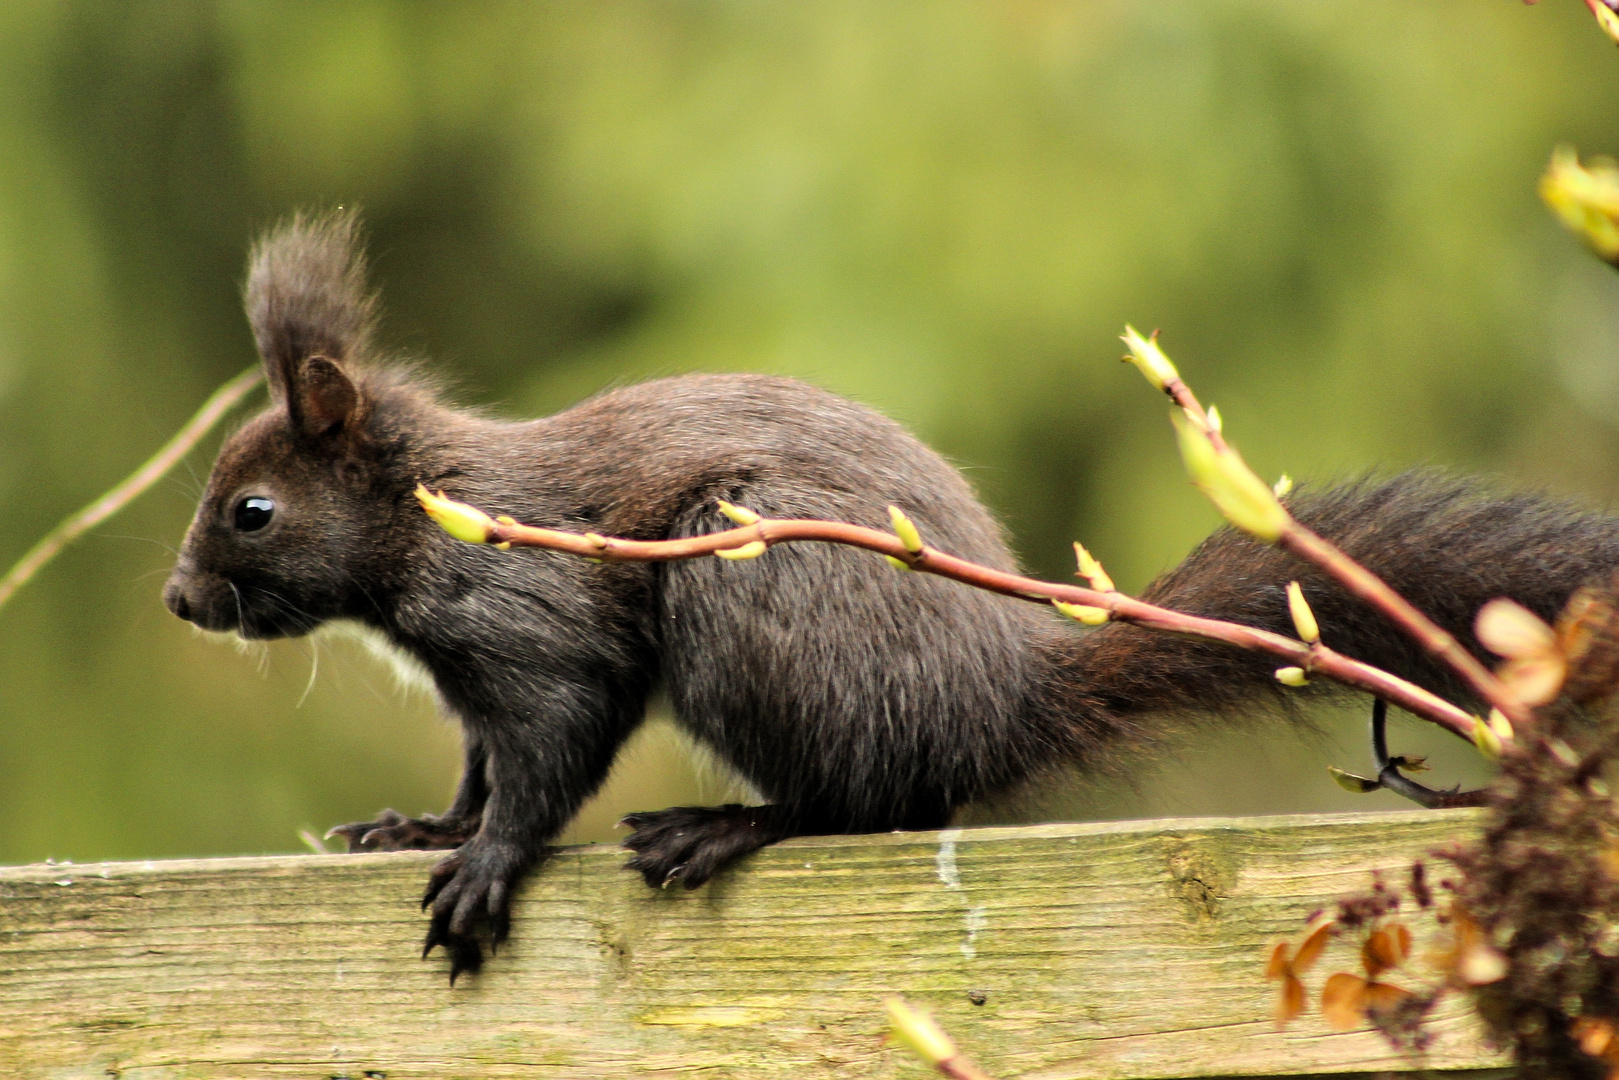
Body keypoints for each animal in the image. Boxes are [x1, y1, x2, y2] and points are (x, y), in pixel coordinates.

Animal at [164, 210, 1619, 977]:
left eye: (252, 511)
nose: (179, 601)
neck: (429, 522)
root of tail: (998, 696)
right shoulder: (473, 686)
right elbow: (476, 769)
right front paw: (417, 827)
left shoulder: (536, 622)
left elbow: (549, 756)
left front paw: (483, 868)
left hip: (755, 600)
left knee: (870, 800)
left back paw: (723, 827)